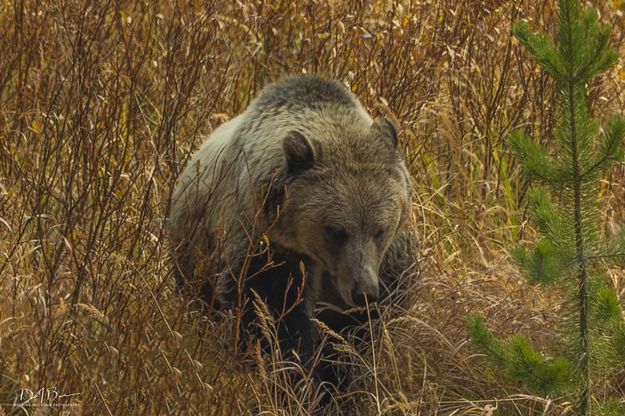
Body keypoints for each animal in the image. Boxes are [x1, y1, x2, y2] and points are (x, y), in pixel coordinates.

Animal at [168, 75, 416, 400]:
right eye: (336, 231)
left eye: (379, 229)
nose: (363, 291)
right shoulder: (268, 248)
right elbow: (272, 318)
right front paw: (296, 384)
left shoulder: (387, 265)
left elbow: (360, 334)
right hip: (193, 260)